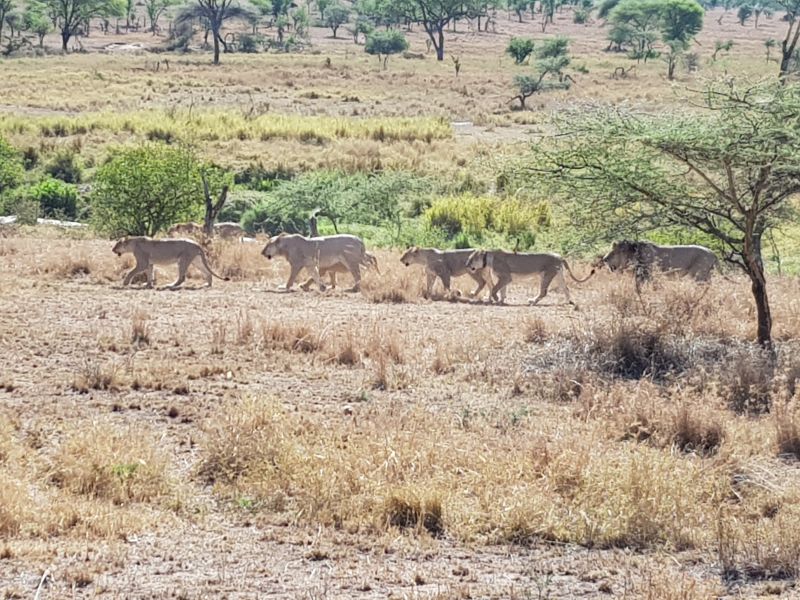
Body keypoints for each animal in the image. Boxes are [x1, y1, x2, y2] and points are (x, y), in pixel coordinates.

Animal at [462, 248, 592, 304]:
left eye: (471, 259)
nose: (466, 264)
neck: (488, 259)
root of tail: (560, 256)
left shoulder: (506, 277)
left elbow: (494, 289)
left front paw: (496, 299)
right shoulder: (504, 278)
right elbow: (502, 289)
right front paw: (501, 300)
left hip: (546, 275)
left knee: (543, 292)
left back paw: (533, 301)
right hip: (558, 275)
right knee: (566, 288)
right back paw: (568, 302)